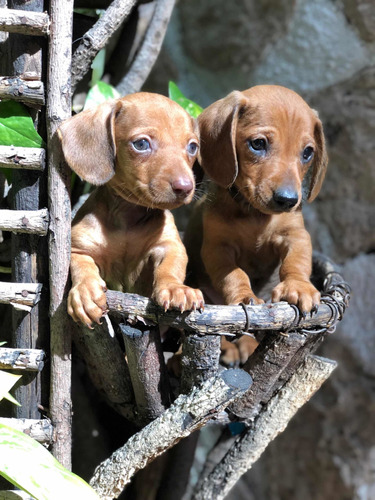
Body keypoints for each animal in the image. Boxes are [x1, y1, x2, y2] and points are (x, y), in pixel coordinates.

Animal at [59, 93, 206, 328]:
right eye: (141, 144)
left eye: (192, 147)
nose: (185, 187)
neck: (128, 216)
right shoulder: (79, 248)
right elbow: (82, 266)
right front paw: (85, 293)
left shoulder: (169, 245)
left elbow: (170, 266)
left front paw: (176, 288)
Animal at [187, 84, 328, 362]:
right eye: (258, 144)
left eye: (307, 152)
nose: (288, 200)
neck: (254, 215)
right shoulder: (217, 248)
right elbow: (235, 275)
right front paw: (245, 297)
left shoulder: (295, 235)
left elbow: (297, 262)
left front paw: (299, 287)